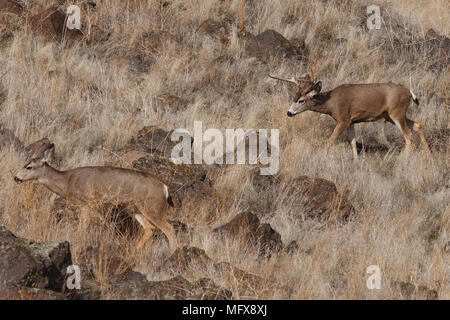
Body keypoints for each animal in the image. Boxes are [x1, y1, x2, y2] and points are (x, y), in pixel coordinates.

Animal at [14, 143, 176, 252]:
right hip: (136, 208)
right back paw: (134, 249)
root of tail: (165, 188)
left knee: (169, 228)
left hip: (153, 207)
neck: (66, 182)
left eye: (29, 167)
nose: (16, 177)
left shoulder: (87, 203)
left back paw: (173, 252)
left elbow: (82, 227)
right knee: (150, 227)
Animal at [268, 72, 430, 158]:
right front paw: (356, 161)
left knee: (408, 135)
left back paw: (404, 158)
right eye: (293, 99)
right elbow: (352, 141)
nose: (289, 113)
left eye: (301, 100)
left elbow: (331, 140)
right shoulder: (351, 121)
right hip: (389, 115)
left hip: (396, 112)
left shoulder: (343, 119)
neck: (331, 103)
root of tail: (409, 92)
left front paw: (323, 157)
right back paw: (429, 154)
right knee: (417, 124)